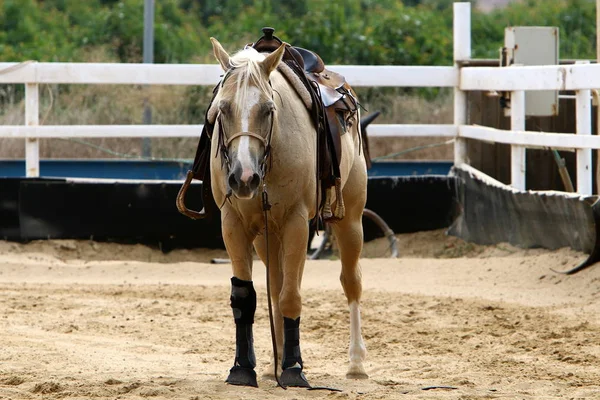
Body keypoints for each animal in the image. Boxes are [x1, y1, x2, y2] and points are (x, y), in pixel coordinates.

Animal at [211, 37, 370, 388]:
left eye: (268, 109)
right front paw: (243, 368)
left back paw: (356, 363)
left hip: (351, 220)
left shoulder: (297, 223)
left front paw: (295, 369)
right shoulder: (233, 224)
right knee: (275, 283)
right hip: (267, 237)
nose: (244, 177)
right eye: (222, 109)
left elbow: (290, 297)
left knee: (351, 282)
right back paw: (275, 362)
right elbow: (246, 296)